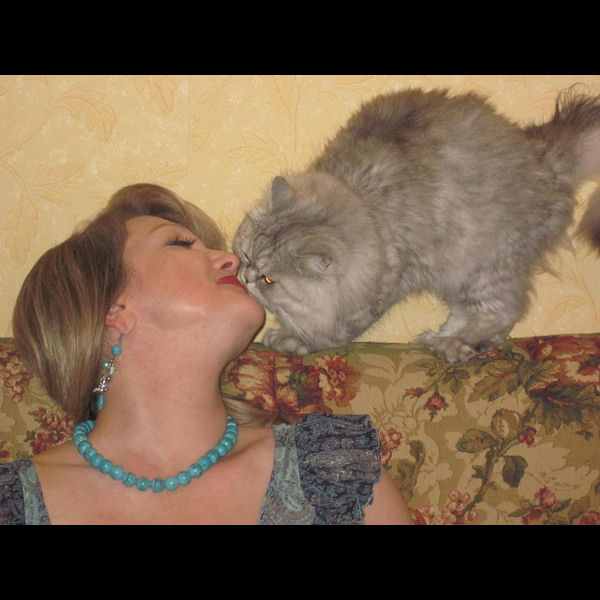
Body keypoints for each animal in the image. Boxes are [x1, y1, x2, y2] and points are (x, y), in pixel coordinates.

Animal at [233, 87, 600, 362]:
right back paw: (437, 337)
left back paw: (453, 344)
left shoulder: (385, 284)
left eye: (269, 280)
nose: (245, 277)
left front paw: (294, 340)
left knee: (498, 313)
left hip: (484, 264)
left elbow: (334, 330)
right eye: (247, 256)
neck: (365, 206)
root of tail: (542, 154)